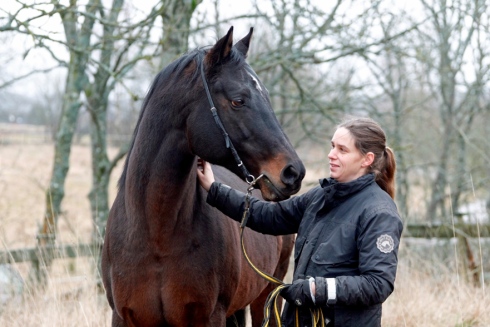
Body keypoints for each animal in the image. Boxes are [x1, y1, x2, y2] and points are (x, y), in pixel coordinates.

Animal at [101, 26, 304, 326]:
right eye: (238, 100)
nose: (293, 172)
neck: (156, 235)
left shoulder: (210, 316)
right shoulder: (123, 317)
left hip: (266, 298)